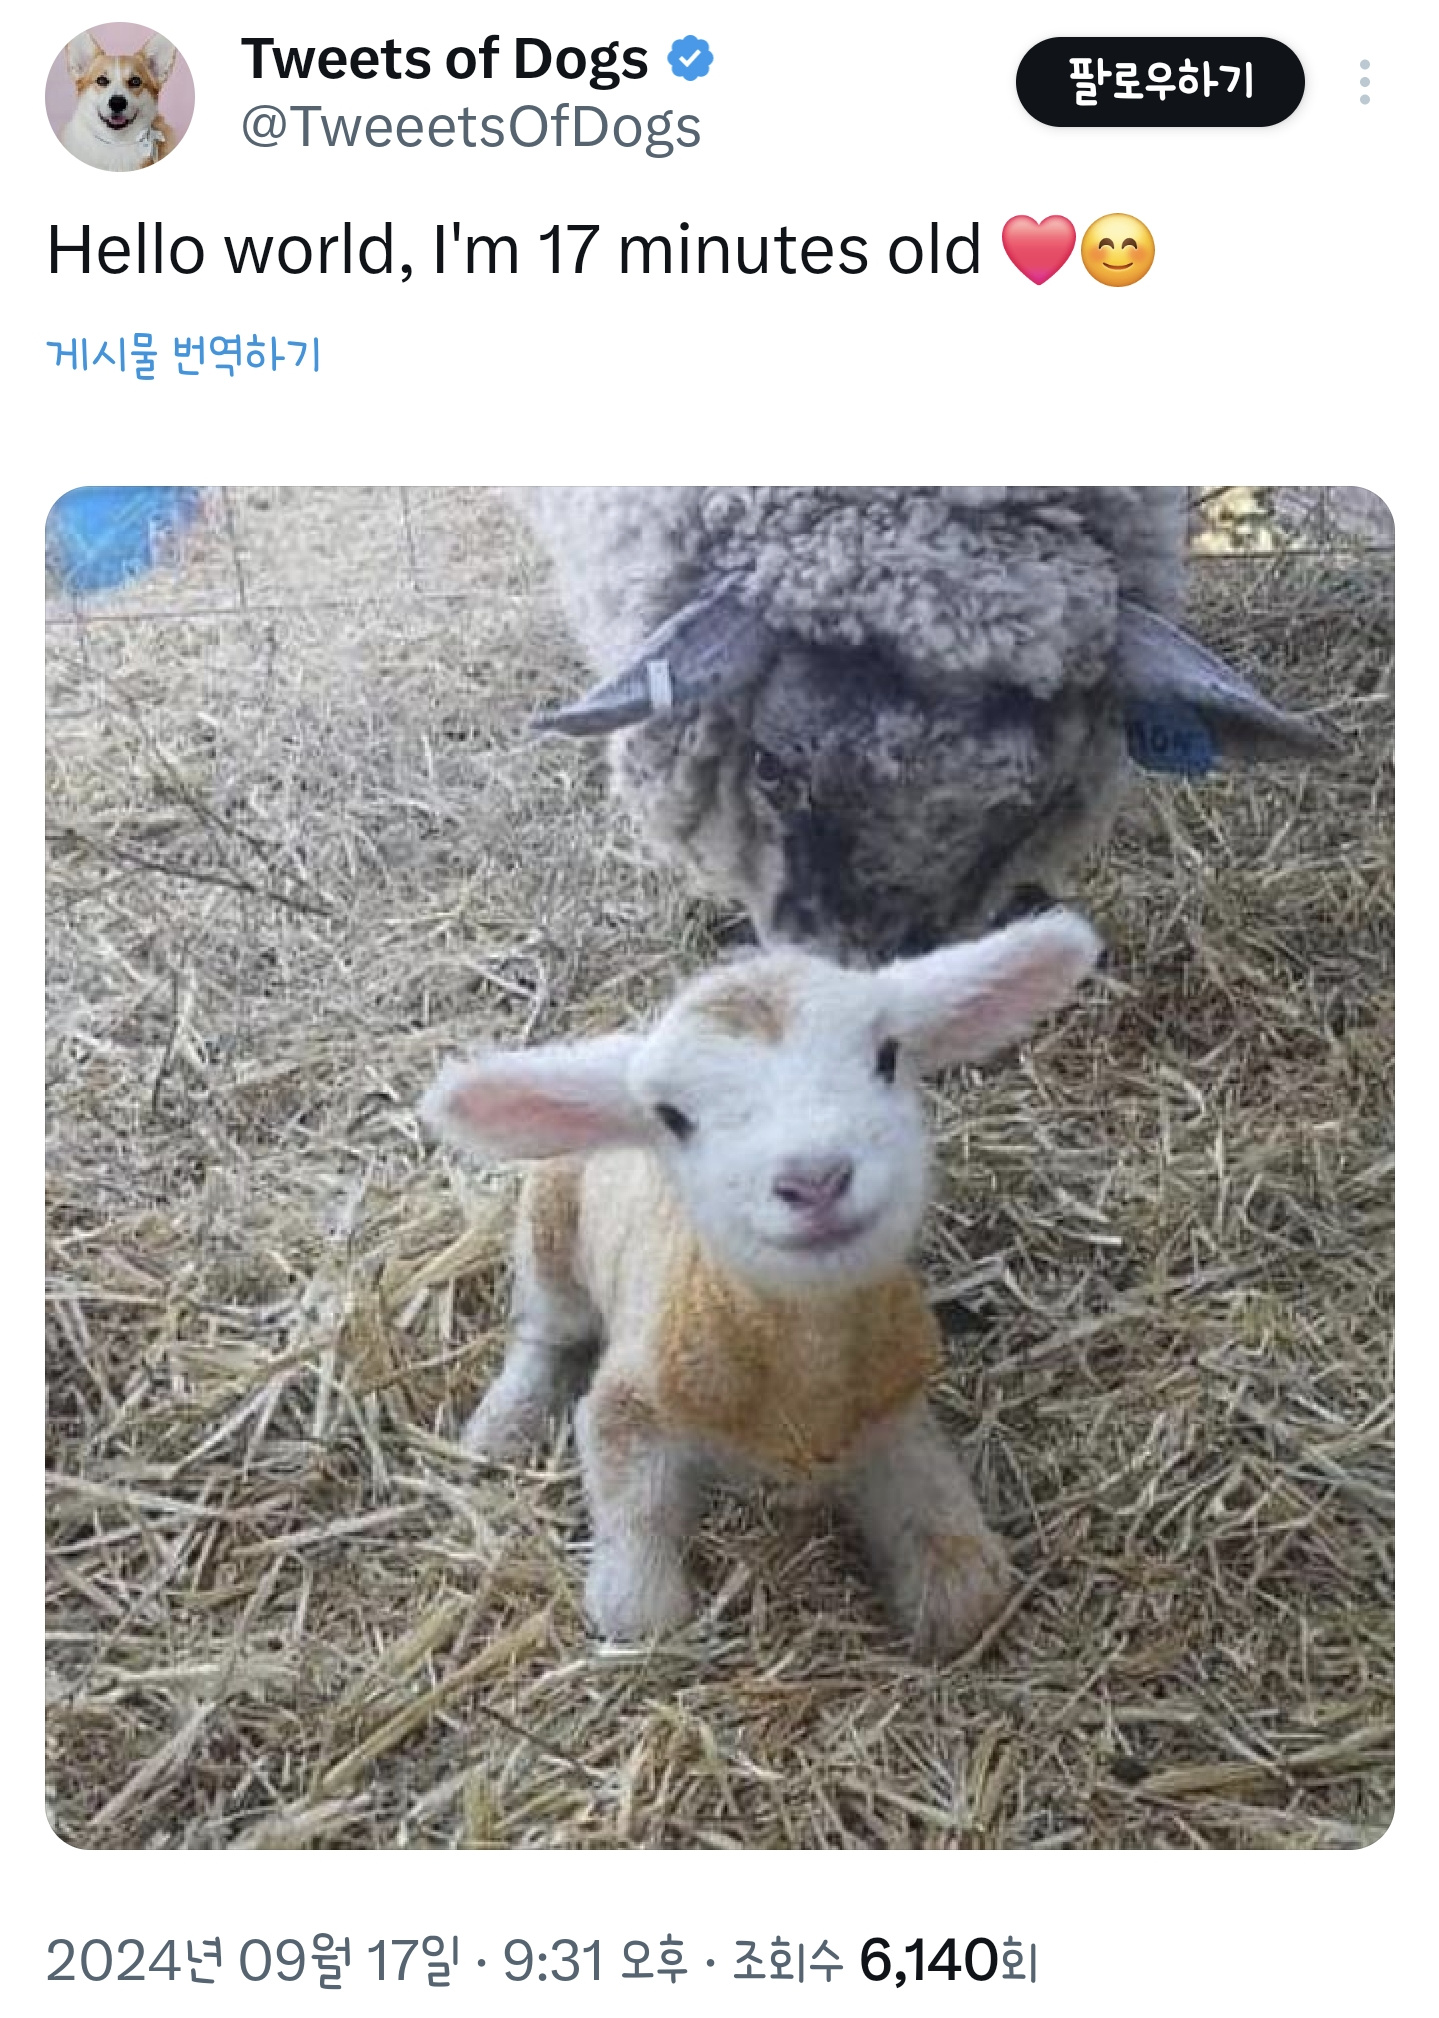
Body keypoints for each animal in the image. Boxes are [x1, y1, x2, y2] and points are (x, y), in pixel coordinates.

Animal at [421, 908, 1101, 1657]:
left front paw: (945, 1587)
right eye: (673, 1117)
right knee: (545, 1328)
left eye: (887, 1056)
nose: (815, 1179)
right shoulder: (629, 1402)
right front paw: (637, 1599)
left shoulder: (893, 1406)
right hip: (549, 1224)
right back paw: (504, 1423)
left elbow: (961, 1578)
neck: (801, 1374)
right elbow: (637, 1597)